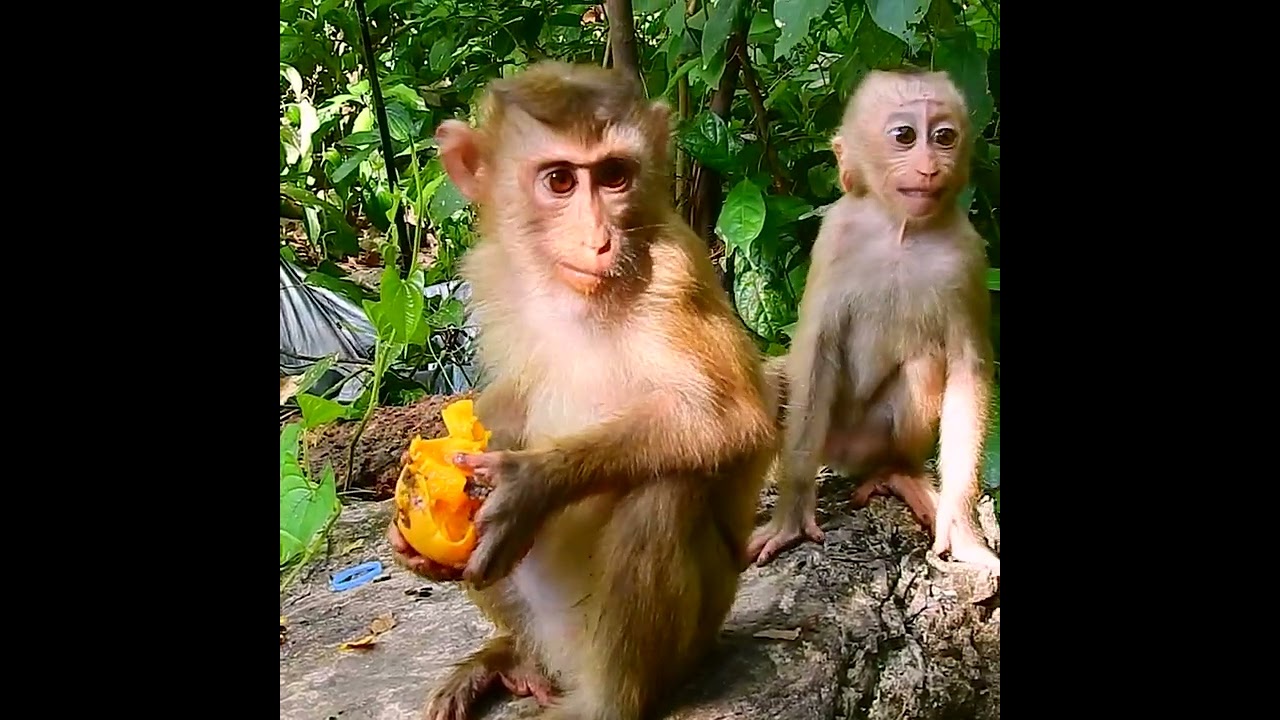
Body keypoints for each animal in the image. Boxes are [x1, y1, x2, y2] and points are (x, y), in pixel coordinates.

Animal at [387, 62, 777, 720]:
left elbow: (733, 415)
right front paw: (410, 518)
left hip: (685, 640)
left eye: (615, 176)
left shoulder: (678, 271)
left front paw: (530, 486)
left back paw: (607, 703)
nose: (598, 239)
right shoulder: (491, 272)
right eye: (560, 180)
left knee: (665, 489)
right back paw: (510, 660)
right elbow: (506, 402)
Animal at [745, 69, 1000, 574]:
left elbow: (967, 369)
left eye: (944, 137)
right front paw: (790, 516)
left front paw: (961, 528)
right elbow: (815, 353)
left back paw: (896, 473)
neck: (899, 231)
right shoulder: (834, 237)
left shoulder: (969, 257)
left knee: (925, 365)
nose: (930, 165)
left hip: (868, 440)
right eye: (904, 136)